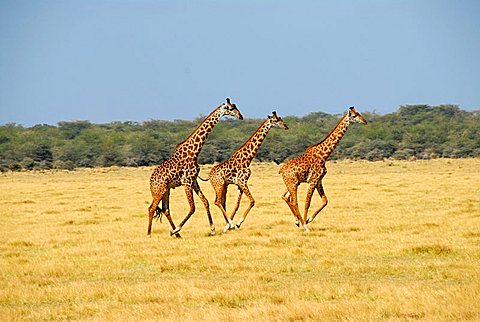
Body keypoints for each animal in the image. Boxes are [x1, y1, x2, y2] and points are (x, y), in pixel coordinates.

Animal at [146, 97, 244, 236]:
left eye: (236, 106)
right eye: (230, 108)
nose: (240, 116)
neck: (195, 151)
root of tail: (150, 181)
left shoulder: (193, 180)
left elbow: (205, 201)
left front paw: (212, 229)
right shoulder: (186, 181)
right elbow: (192, 207)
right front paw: (178, 228)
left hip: (166, 190)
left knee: (165, 209)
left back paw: (177, 235)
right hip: (158, 191)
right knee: (152, 208)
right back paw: (150, 234)